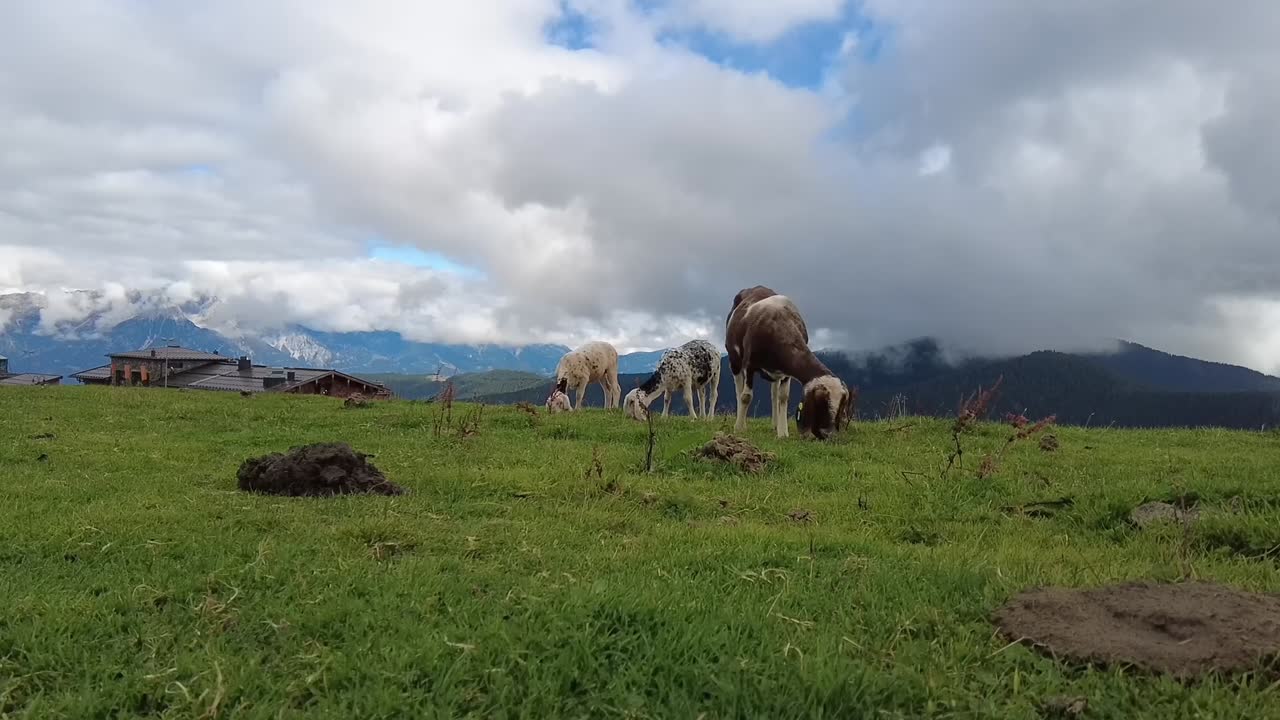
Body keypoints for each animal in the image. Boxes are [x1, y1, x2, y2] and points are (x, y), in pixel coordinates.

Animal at [725, 285, 852, 439]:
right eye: (821, 402)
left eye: (841, 406)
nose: (829, 434)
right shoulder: (749, 364)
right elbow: (746, 396)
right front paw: (739, 429)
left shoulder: (785, 372)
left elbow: (783, 397)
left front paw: (783, 433)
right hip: (735, 360)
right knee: (739, 389)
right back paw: (741, 422)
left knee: (774, 393)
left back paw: (774, 424)